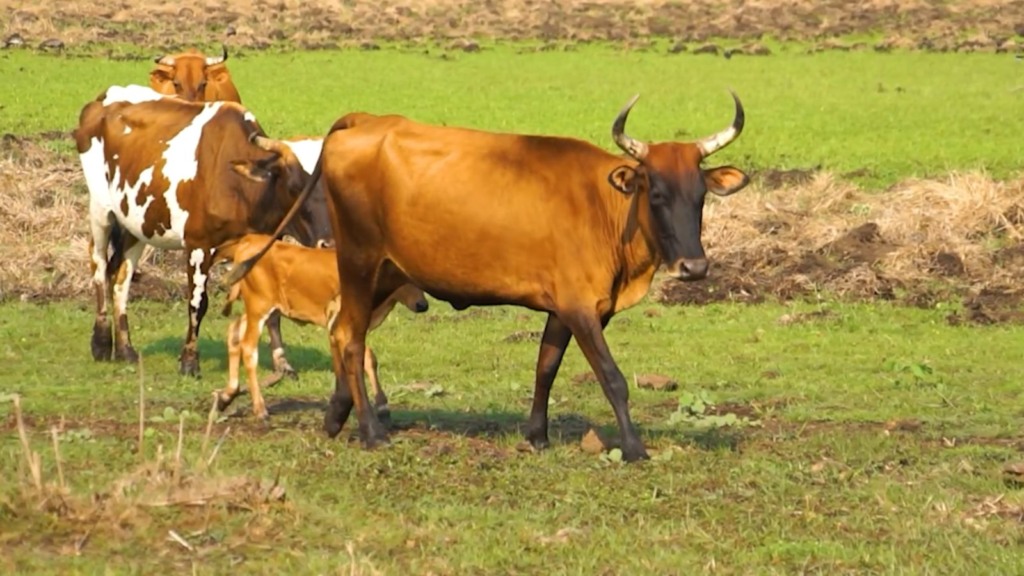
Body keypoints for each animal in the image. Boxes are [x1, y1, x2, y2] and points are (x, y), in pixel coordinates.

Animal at [75, 81, 331, 377]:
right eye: (294, 186)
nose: (328, 243)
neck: (239, 187)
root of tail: (105, 97)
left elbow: (272, 310)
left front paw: (282, 364)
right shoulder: (198, 244)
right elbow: (198, 303)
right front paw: (189, 360)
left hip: (136, 221)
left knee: (121, 278)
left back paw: (126, 349)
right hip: (101, 210)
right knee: (99, 264)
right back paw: (102, 343)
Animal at [216, 231, 428, 416]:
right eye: (402, 279)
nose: (422, 305)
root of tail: (250, 240)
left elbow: (368, 358)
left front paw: (381, 405)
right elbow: (366, 355)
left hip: (263, 310)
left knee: (234, 331)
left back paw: (227, 396)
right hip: (259, 307)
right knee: (249, 349)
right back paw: (260, 408)